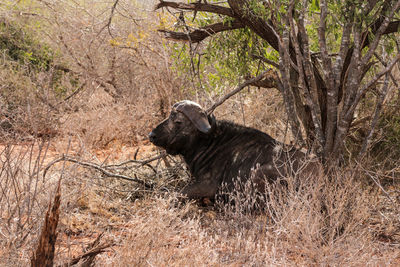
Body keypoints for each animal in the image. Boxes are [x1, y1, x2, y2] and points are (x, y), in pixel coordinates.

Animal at [148, 100, 314, 199]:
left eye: (178, 121)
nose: (152, 135)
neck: (208, 143)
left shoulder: (206, 186)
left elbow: (177, 193)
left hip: (258, 173)